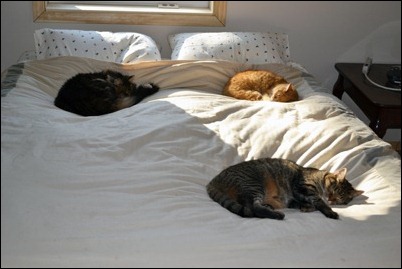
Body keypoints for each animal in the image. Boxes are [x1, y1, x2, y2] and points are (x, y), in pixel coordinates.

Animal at [206, 158, 362, 219]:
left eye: (339, 199)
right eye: (333, 190)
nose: (330, 199)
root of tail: (213, 181)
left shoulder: (292, 198)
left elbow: (304, 203)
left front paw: (307, 207)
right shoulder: (303, 187)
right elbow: (319, 202)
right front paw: (329, 211)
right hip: (254, 185)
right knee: (253, 208)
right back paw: (277, 215)